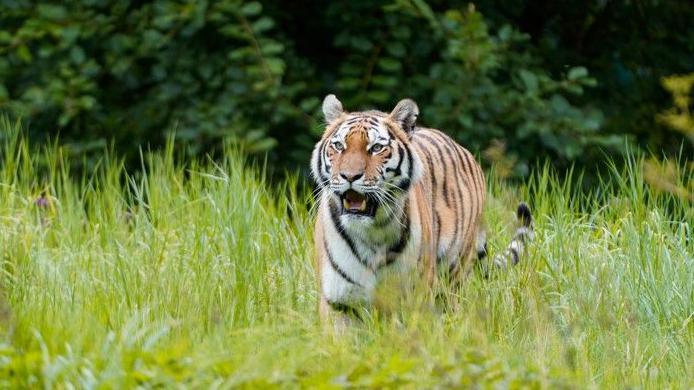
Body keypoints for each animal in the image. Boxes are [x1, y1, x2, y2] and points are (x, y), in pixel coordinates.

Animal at [312, 94, 536, 322]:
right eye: (339, 146)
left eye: (376, 148)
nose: (349, 176)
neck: (372, 233)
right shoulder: (339, 301)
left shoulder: (414, 297)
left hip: (453, 273)